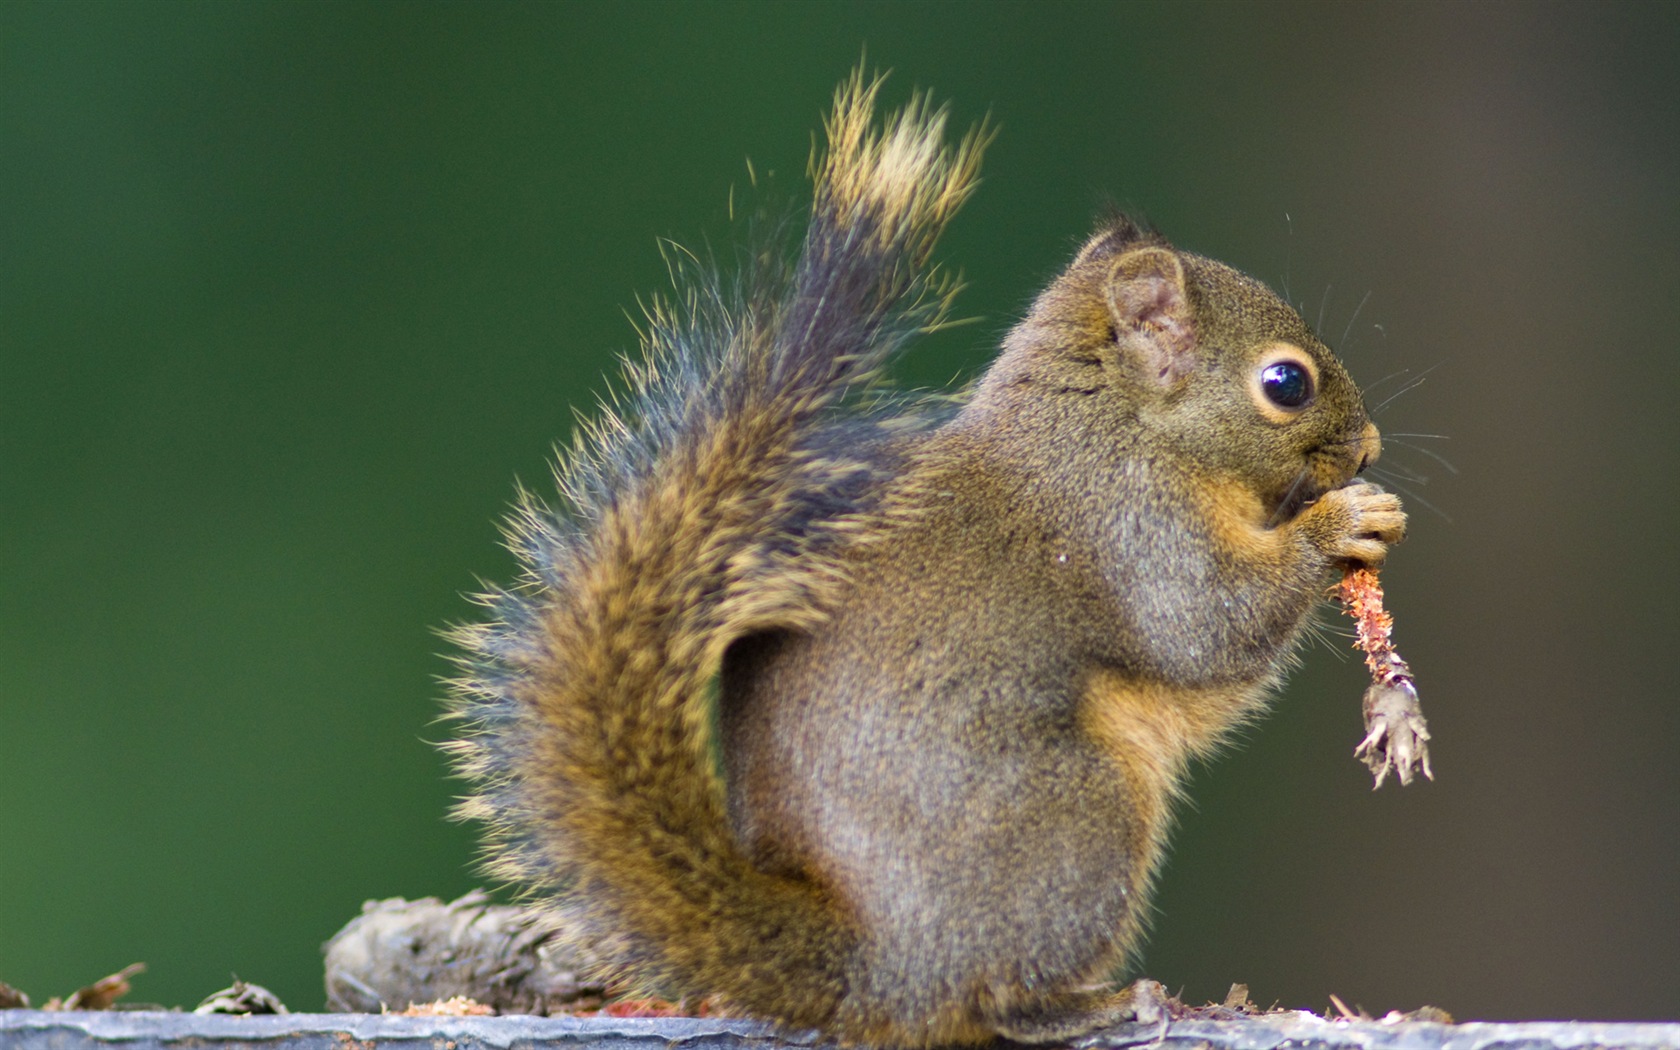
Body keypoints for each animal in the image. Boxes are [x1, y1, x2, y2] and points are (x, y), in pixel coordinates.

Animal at [443, 69, 1404, 1041]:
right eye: (1286, 384)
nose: (1368, 447)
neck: (1117, 424)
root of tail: (880, 969)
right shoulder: (1133, 529)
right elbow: (1209, 628)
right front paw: (1342, 523)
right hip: (1077, 820)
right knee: (998, 999)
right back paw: (1096, 1003)